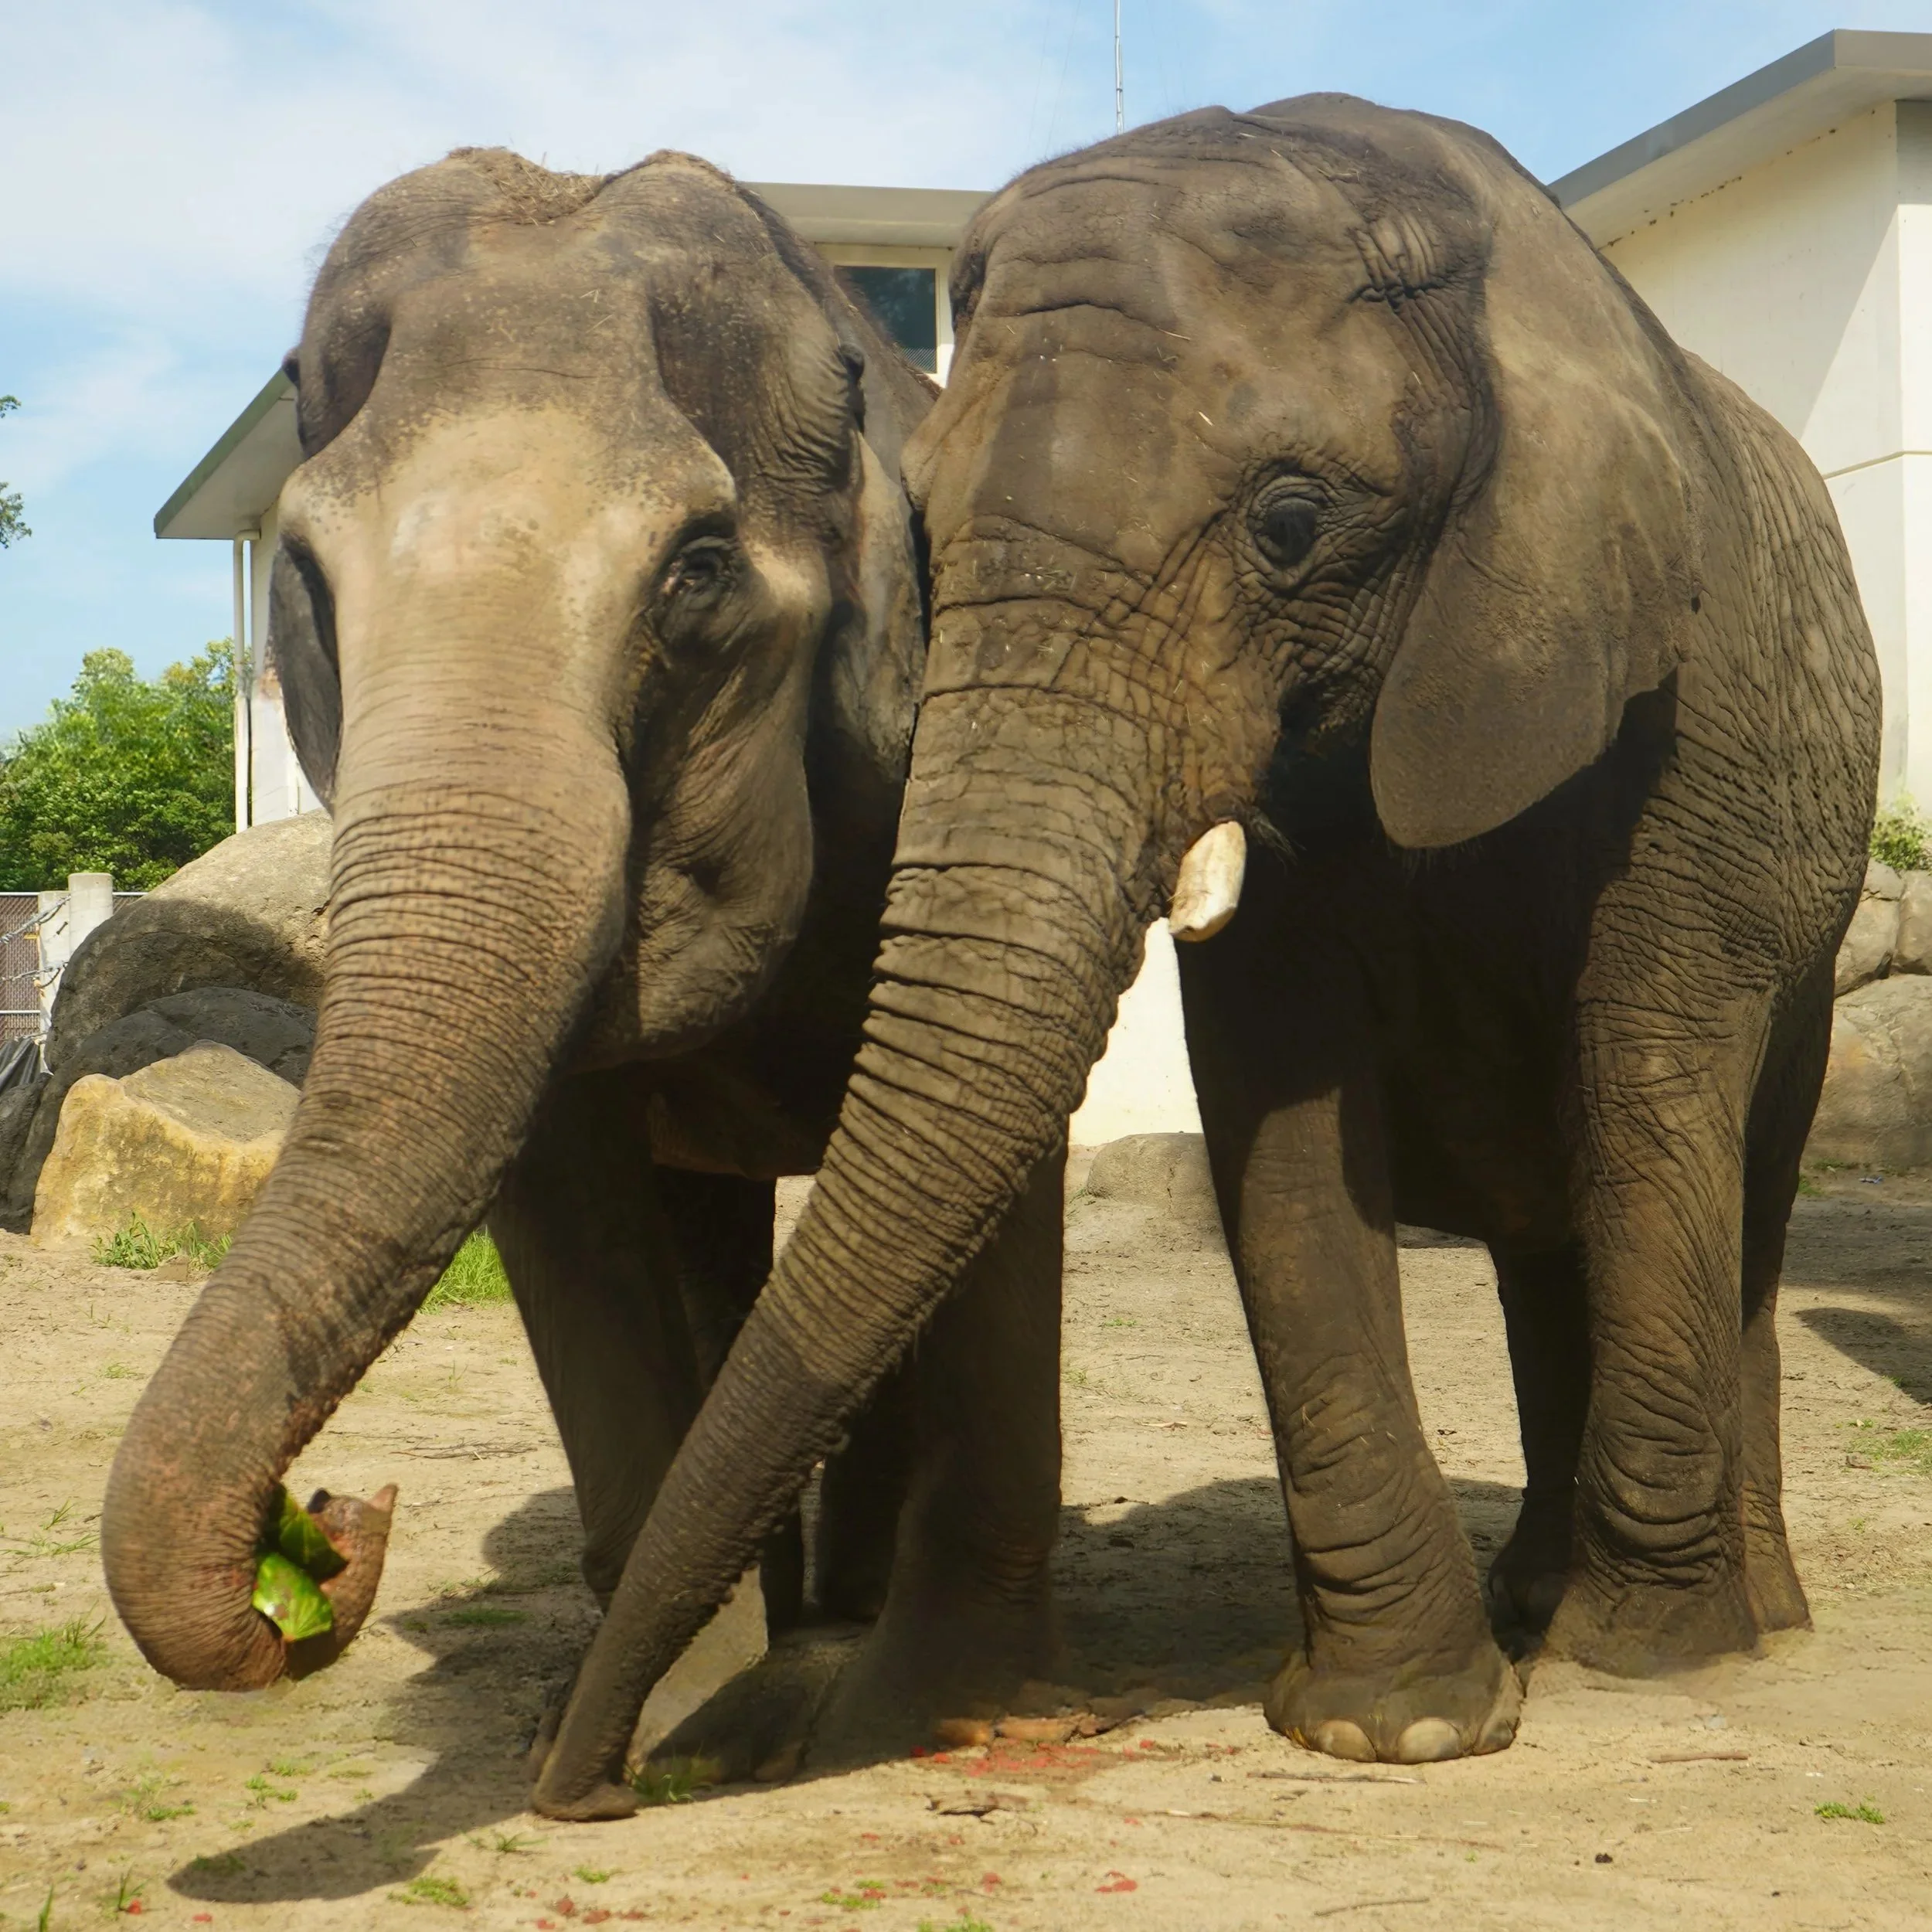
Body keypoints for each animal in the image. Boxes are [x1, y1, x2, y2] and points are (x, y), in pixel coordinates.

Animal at [100, 146, 1067, 1733]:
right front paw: (666, 1713)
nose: (339, 1523)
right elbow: (565, 1206)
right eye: (303, 570)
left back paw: (846, 1602)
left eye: (698, 567)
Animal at [527, 94, 1881, 1817]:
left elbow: (1644, 1084)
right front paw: (1397, 1723)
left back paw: (1740, 1618)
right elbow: (1282, 1115)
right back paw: (1536, 1594)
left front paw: (1632, 1659)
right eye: (923, 537)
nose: (601, 1781)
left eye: (1291, 526)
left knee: (1728, 1197)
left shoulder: (1692, 713)